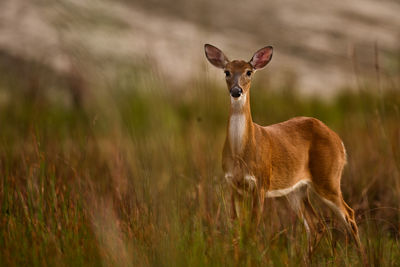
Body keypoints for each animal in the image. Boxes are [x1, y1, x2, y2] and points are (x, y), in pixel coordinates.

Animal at [205, 44, 360, 253]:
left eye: (249, 72)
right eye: (227, 72)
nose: (236, 91)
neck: (240, 153)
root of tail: (339, 142)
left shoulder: (261, 183)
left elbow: (251, 230)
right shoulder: (233, 185)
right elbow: (237, 229)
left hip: (328, 178)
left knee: (349, 215)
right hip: (297, 189)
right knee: (316, 225)